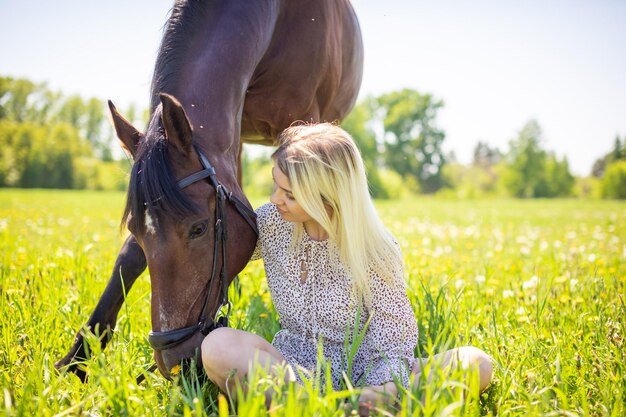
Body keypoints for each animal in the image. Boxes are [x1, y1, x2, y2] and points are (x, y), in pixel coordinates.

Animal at [58, 0, 364, 378]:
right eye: (135, 229)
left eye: (199, 228)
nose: (174, 360)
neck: (281, 21)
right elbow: (128, 258)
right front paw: (76, 359)